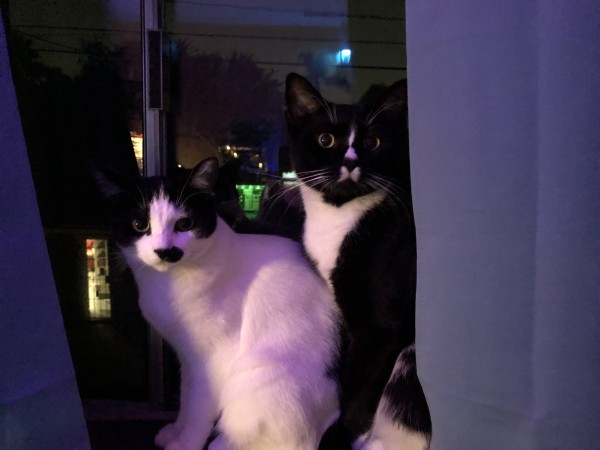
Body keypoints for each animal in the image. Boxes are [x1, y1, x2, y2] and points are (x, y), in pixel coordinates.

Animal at [97, 157, 342, 450]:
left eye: (185, 224)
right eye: (139, 224)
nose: (165, 251)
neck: (168, 283)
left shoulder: (214, 358)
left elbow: (199, 409)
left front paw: (186, 443)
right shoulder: (188, 356)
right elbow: (187, 398)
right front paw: (176, 431)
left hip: (257, 375)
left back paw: (222, 443)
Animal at [286, 74, 432, 450]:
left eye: (372, 141)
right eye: (325, 139)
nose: (351, 161)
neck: (339, 216)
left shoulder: (379, 329)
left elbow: (362, 385)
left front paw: (340, 435)